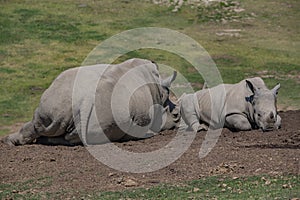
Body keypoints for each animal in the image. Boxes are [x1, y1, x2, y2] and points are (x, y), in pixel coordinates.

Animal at [2, 57, 179, 145]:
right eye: (176, 114)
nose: (178, 118)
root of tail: (84, 101)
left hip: (54, 100)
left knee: (38, 123)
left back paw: (10, 141)